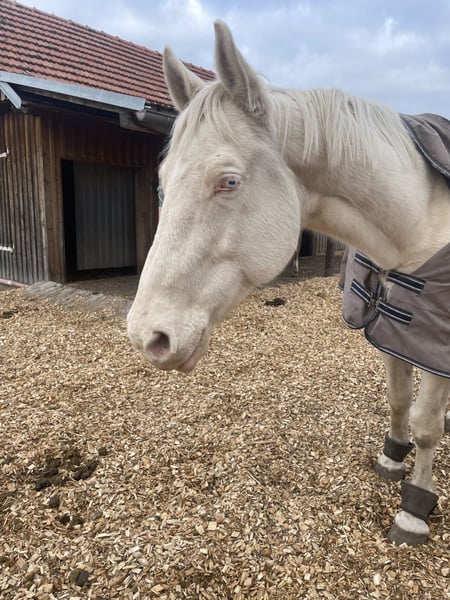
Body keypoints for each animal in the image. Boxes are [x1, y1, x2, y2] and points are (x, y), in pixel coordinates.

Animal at [127, 21, 450, 546]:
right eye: (163, 180)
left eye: (229, 182)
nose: (146, 336)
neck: (420, 220)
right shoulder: (394, 334)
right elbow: (400, 399)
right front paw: (391, 459)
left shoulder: (434, 347)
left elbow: (427, 425)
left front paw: (414, 509)